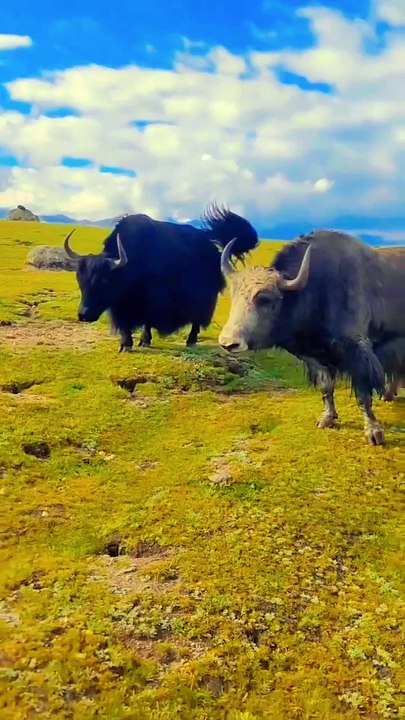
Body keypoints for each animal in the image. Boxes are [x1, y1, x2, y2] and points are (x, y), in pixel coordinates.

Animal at [63, 206, 258, 351]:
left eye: (104, 281)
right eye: (80, 280)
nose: (84, 315)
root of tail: (213, 246)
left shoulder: (152, 300)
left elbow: (146, 321)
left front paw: (143, 341)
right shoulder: (122, 305)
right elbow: (126, 323)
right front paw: (126, 344)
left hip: (206, 298)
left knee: (197, 321)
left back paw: (191, 341)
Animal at [218, 230, 405, 446]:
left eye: (264, 299)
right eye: (234, 295)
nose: (228, 342)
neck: (317, 290)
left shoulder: (358, 353)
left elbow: (363, 393)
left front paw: (374, 432)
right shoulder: (315, 357)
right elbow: (326, 387)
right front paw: (327, 419)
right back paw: (388, 395)